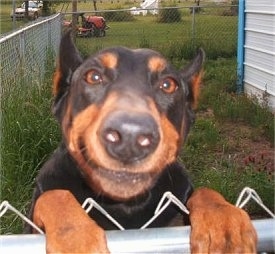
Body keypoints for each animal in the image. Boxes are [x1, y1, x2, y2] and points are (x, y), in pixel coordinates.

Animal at [25, 31, 256, 252]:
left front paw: (225, 223)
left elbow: (205, 191)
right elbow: (55, 195)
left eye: (168, 84)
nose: (130, 137)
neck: (124, 205)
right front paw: (75, 238)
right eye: (93, 76)